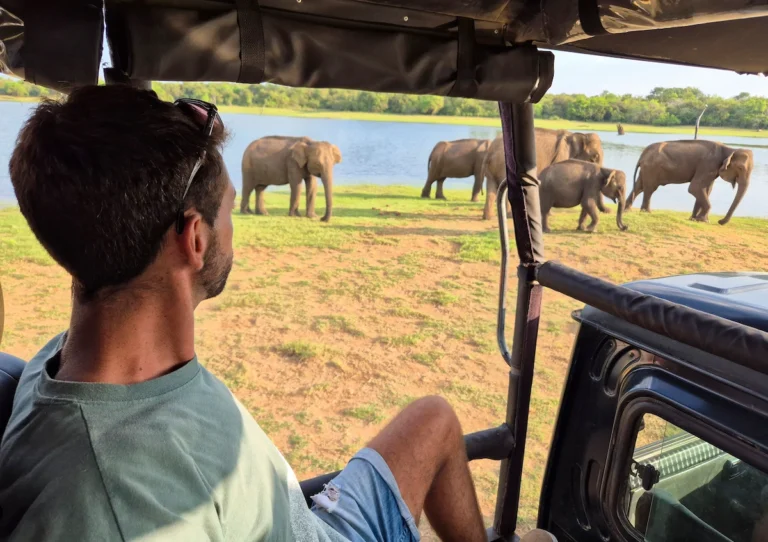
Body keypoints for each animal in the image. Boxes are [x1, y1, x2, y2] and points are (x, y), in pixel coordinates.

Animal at [624, 140, 753, 225]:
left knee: (639, 186)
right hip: (652, 168)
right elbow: (695, 188)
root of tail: (642, 154)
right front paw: (703, 221)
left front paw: (695, 219)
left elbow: (706, 189)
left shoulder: (711, 169)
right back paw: (647, 212)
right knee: (650, 188)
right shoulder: (708, 164)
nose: (720, 221)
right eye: (740, 168)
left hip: (647, 169)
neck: (730, 149)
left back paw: (627, 210)